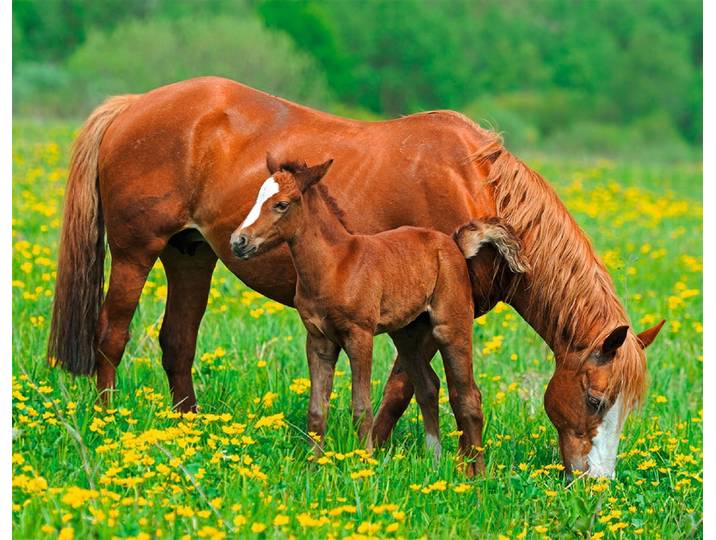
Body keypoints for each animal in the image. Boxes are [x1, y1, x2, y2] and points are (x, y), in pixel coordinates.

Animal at [230, 155, 528, 474]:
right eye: (257, 197)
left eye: (281, 204)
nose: (239, 241)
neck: (334, 265)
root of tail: (454, 244)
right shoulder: (318, 340)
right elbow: (317, 409)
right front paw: (312, 467)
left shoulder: (360, 335)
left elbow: (361, 407)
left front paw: (365, 466)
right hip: (408, 334)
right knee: (428, 386)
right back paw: (434, 461)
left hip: (450, 325)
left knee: (468, 395)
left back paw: (477, 475)